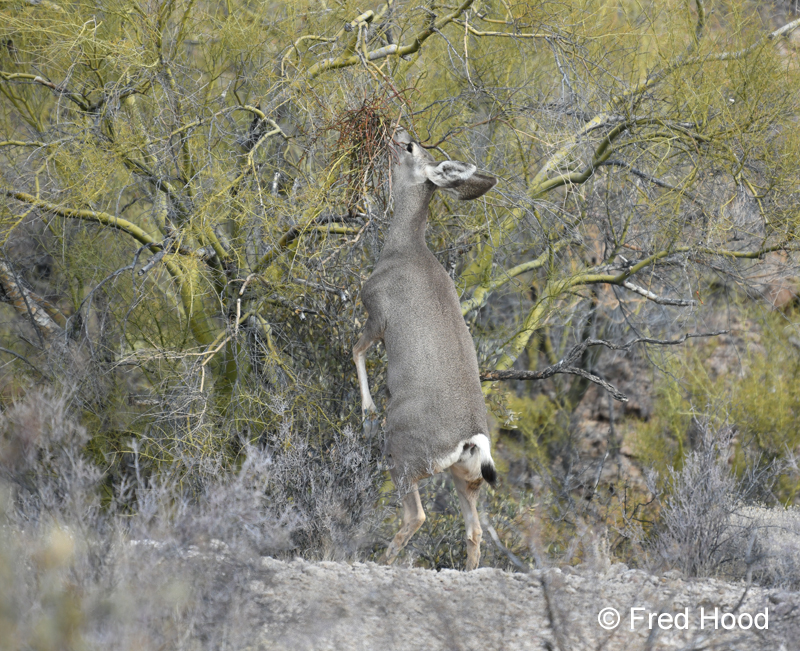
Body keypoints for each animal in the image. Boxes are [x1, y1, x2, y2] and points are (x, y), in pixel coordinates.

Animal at [353, 126, 497, 570]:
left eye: (410, 147)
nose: (396, 132)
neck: (404, 247)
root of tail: (471, 441)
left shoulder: (377, 312)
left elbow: (356, 350)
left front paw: (368, 410)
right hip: (466, 479)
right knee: (474, 531)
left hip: (403, 454)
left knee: (415, 515)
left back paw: (376, 560)